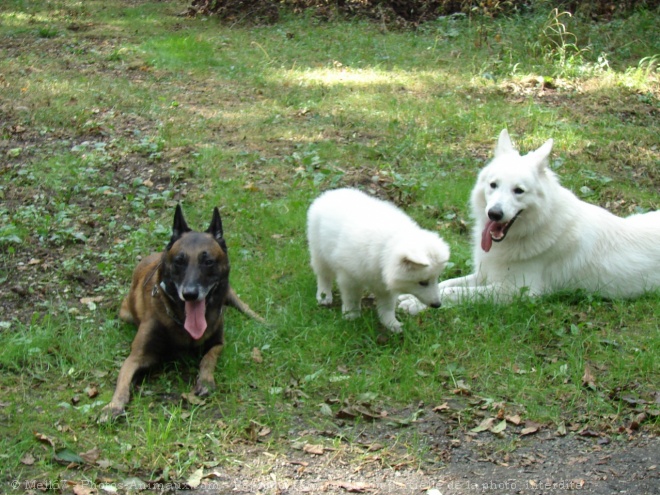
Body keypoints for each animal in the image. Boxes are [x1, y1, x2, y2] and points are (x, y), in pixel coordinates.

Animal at [98, 204, 262, 422]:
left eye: (208, 261)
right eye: (179, 261)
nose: (190, 294)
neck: (182, 323)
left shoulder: (218, 343)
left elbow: (208, 358)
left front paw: (205, 380)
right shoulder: (137, 357)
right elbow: (123, 382)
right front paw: (113, 405)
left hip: (230, 294)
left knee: (245, 307)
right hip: (126, 313)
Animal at [306, 189, 452, 334]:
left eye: (436, 278)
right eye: (422, 282)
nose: (437, 305)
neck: (387, 248)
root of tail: (330, 193)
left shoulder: (385, 285)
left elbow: (387, 306)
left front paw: (391, 324)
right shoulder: (349, 276)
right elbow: (351, 298)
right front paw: (351, 316)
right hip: (319, 251)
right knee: (323, 276)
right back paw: (324, 296)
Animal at [398, 129, 660, 314]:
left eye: (519, 191)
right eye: (493, 185)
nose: (494, 214)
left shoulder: (516, 291)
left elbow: (454, 292)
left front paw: (416, 304)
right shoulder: (486, 275)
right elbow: (448, 283)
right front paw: (413, 295)